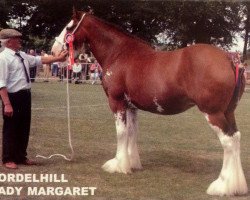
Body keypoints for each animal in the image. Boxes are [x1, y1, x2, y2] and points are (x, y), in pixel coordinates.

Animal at [51, 10, 248, 196]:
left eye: (69, 27)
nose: (54, 51)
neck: (119, 53)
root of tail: (230, 60)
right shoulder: (131, 106)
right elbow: (132, 132)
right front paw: (132, 163)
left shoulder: (116, 102)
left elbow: (121, 132)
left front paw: (118, 165)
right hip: (228, 112)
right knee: (236, 137)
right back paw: (237, 186)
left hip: (212, 113)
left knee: (228, 141)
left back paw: (222, 186)